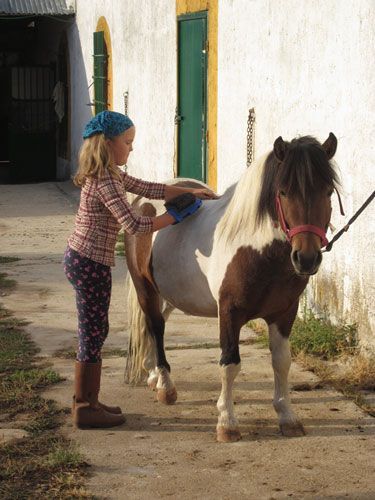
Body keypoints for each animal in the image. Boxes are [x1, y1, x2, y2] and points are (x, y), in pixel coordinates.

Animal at [124, 132, 340, 442]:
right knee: (156, 327)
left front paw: (287, 416)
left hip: (169, 293)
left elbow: (282, 361)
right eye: (283, 192)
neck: (256, 249)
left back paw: (153, 374)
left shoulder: (285, 313)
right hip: (146, 289)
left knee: (156, 326)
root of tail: (142, 203)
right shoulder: (229, 312)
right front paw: (227, 423)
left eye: (328, 191)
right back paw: (165, 384)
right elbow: (229, 364)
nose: (307, 258)